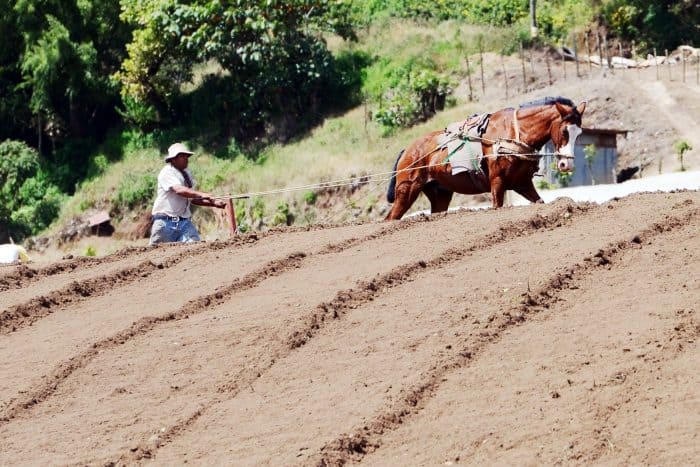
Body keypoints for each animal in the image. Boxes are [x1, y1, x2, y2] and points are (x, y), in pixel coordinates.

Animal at [386, 97, 588, 221]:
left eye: (579, 133)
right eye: (564, 131)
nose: (566, 164)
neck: (514, 134)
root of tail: (408, 150)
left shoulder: (522, 183)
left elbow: (539, 202)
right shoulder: (497, 182)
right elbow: (497, 205)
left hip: (440, 195)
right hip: (407, 190)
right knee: (390, 219)